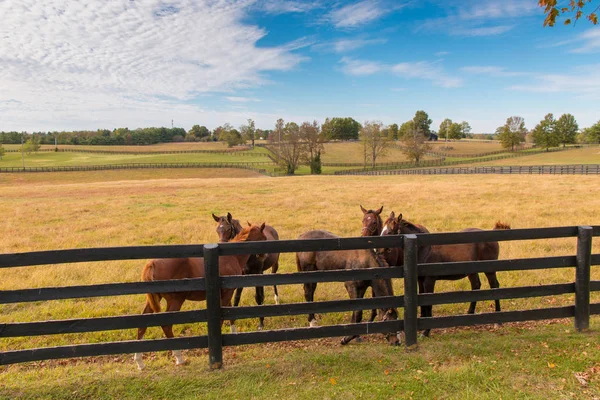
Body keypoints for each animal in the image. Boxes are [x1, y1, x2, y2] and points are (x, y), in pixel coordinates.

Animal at [137, 222, 268, 368]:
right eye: (264, 238)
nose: (263, 256)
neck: (230, 258)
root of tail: (153, 263)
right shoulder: (228, 292)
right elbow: (223, 316)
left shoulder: (225, 293)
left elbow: (230, 314)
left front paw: (234, 333)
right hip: (175, 301)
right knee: (166, 326)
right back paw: (179, 357)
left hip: (154, 300)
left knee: (142, 324)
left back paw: (139, 362)